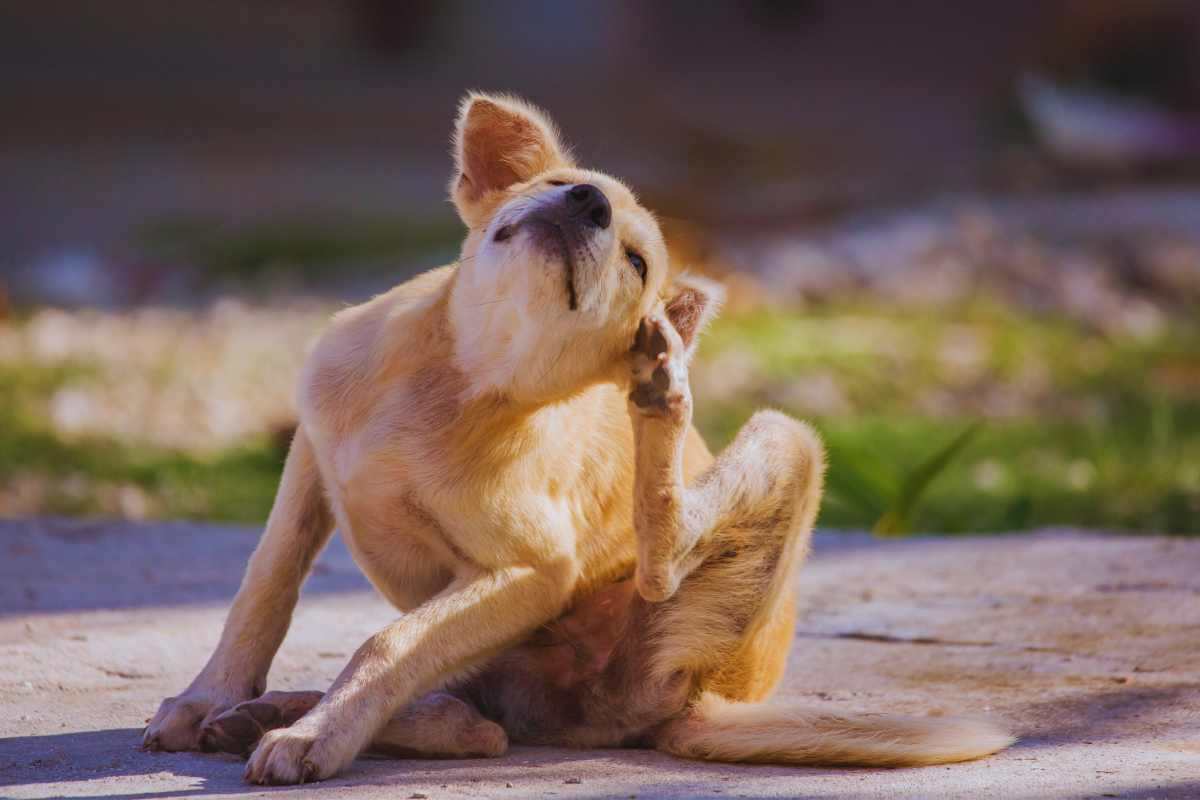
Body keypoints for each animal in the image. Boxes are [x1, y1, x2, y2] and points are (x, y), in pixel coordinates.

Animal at [145, 92, 1017, 782]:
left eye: (636, 262)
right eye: (563, 187)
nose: (588, 205)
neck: (458, 377)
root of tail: (705, 700)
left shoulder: (532, 570)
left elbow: (387, 644)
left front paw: (318, 737)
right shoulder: (310, 458)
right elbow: (265, 585)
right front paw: (209, 697)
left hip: (782, 451)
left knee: (604, 613)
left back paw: (661, 396)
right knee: (475, 718)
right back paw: (265, 713)